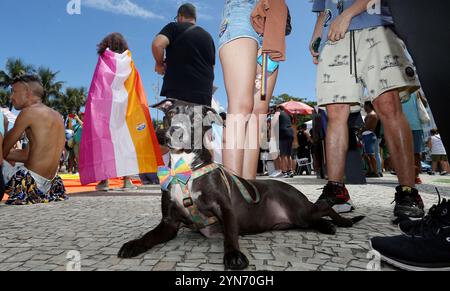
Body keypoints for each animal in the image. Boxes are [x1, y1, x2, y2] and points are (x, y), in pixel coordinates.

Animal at [118, 99, 364, 270]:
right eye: (170, 113)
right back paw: (327, 226)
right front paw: (134, 244)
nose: (174, 132)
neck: (184, 169)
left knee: (325, 206)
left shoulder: (225, 209)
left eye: (196, 118)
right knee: (315, 218)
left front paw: (234, 255)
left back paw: (342, 220)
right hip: (298, 219)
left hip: (300, 209)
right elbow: (149, 236)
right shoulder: (169, 222)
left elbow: (230, 235)